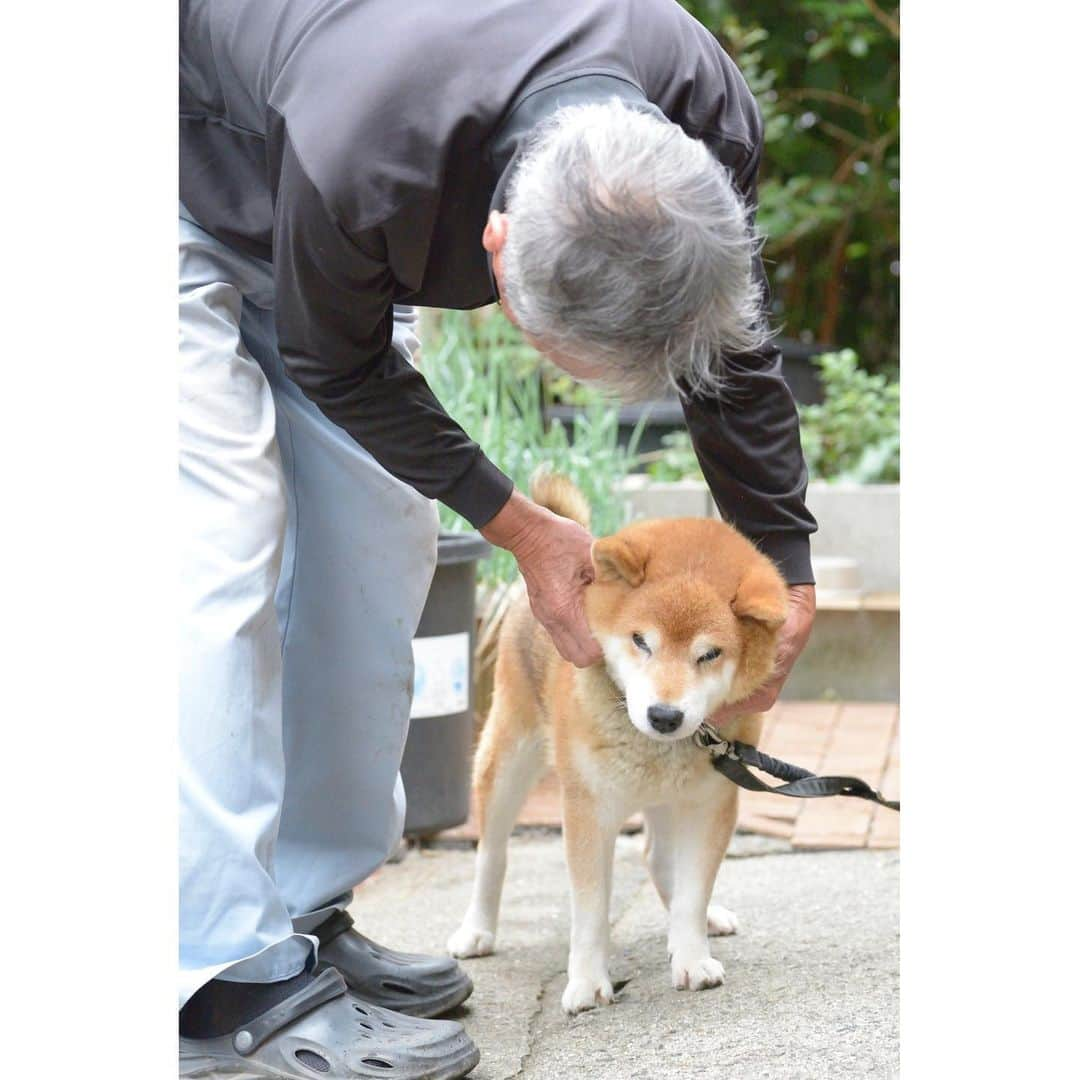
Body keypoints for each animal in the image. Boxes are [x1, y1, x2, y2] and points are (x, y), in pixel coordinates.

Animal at [447, 470, 786, 1010]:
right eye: (640, 640)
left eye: (710, 654)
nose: (664, 715)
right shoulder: (588, 808)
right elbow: (589, 911)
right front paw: (587, 981)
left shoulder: (711, 802)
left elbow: (693, 891)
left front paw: (692, 956)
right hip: (508, 757)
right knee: (492, 853)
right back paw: (477, 930)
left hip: (671, 797)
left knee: (659, 859)